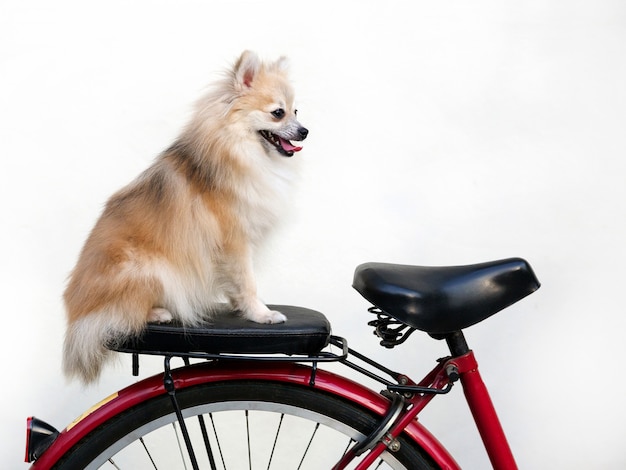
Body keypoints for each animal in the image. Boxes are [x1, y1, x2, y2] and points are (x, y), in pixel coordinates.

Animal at [63, 49, 308, 384]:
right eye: (278, 113)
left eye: (297, 111)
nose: (305, 131)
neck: (240, 150)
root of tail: (77, 316)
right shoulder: (234, 241)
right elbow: (247, 282)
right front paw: (261, 314)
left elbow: (236, 283)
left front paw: (239, 308)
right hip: (148, 267)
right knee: (120, 315)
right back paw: (159, 312)